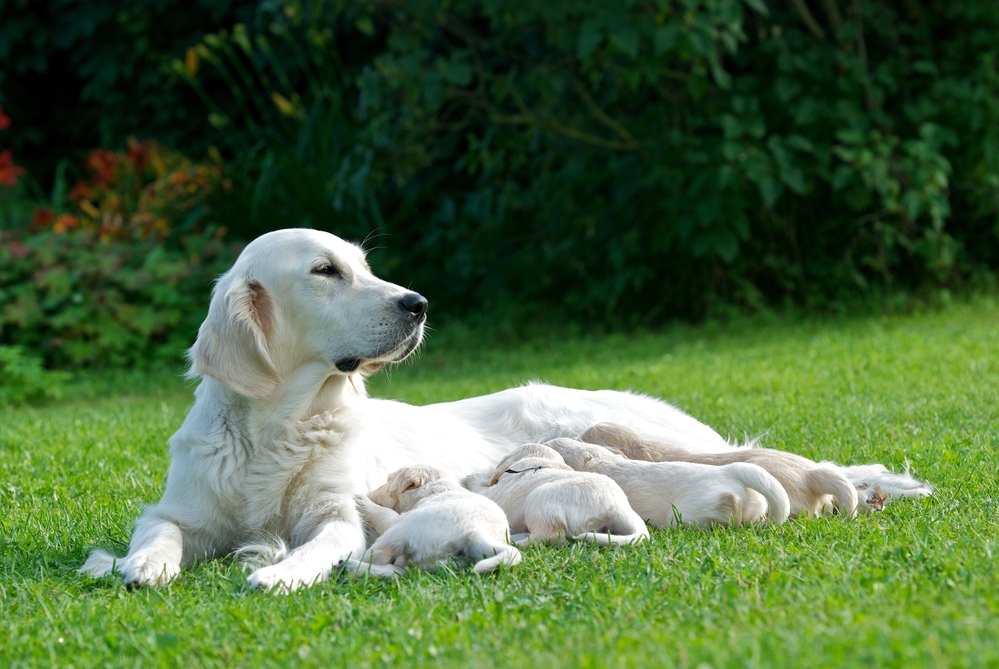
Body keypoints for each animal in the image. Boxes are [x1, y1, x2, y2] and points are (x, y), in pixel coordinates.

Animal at [342, 462, 520, 576]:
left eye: (388, 480)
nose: (371, 494)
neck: (436, 489)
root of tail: (475, 533)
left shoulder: (397, 520)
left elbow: (383, 513)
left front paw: (362, 500)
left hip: (401, 531)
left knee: (380, 555)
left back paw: (345, 565)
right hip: (437, 563)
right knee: (400, 571)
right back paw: (349, 568)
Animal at [466, 440, 652, 544]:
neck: (539, 459)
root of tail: (615, 507)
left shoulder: (495, 493)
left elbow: (481, 486)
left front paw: (472, 477)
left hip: (539, 499)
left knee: (551, 536)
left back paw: (514, 540)